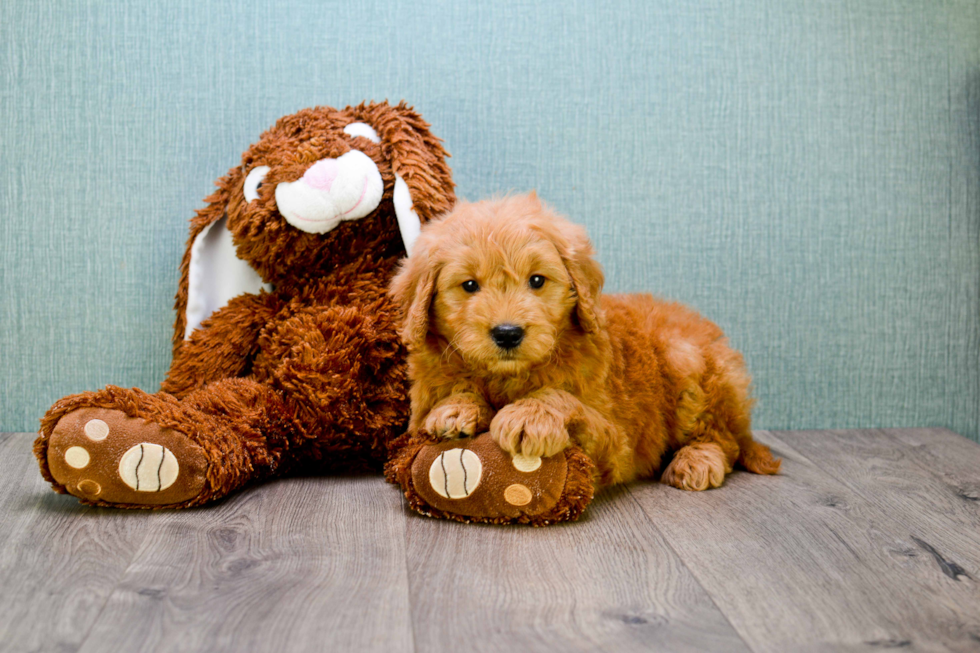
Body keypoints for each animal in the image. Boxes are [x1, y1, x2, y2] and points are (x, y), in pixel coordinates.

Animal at [386, 194, 776, 488]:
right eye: (469, 285)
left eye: (537, 280)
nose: (508, 332)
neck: (507, 378)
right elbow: (448, 398)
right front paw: (456, 407)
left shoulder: (616, 441)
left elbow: (561, 399)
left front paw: (531, 415)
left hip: (687, 363)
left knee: (725, 439)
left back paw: (697, 460)